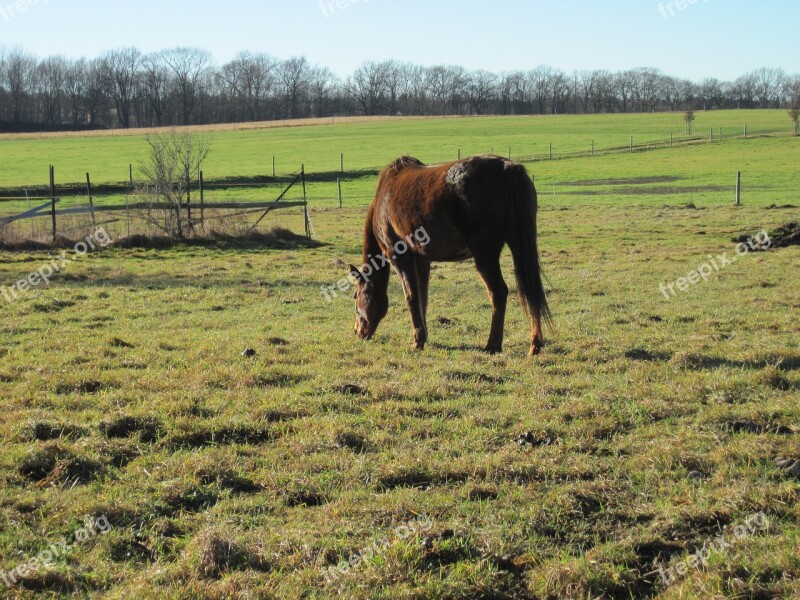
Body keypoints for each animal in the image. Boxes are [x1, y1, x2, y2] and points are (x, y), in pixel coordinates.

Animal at [350, 155, 552, 358]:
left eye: (356, 295)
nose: (357, 331)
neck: (383, 200)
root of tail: (507, 167)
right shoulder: (422, 260)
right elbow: (423, 296)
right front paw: (423, 336)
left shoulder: (400, 257)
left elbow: (411, 296)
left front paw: (417, 340)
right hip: (520, 244)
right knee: (531, 292)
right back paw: (535, 344)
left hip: (485, 255)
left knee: (498, 292)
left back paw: (492, 345)